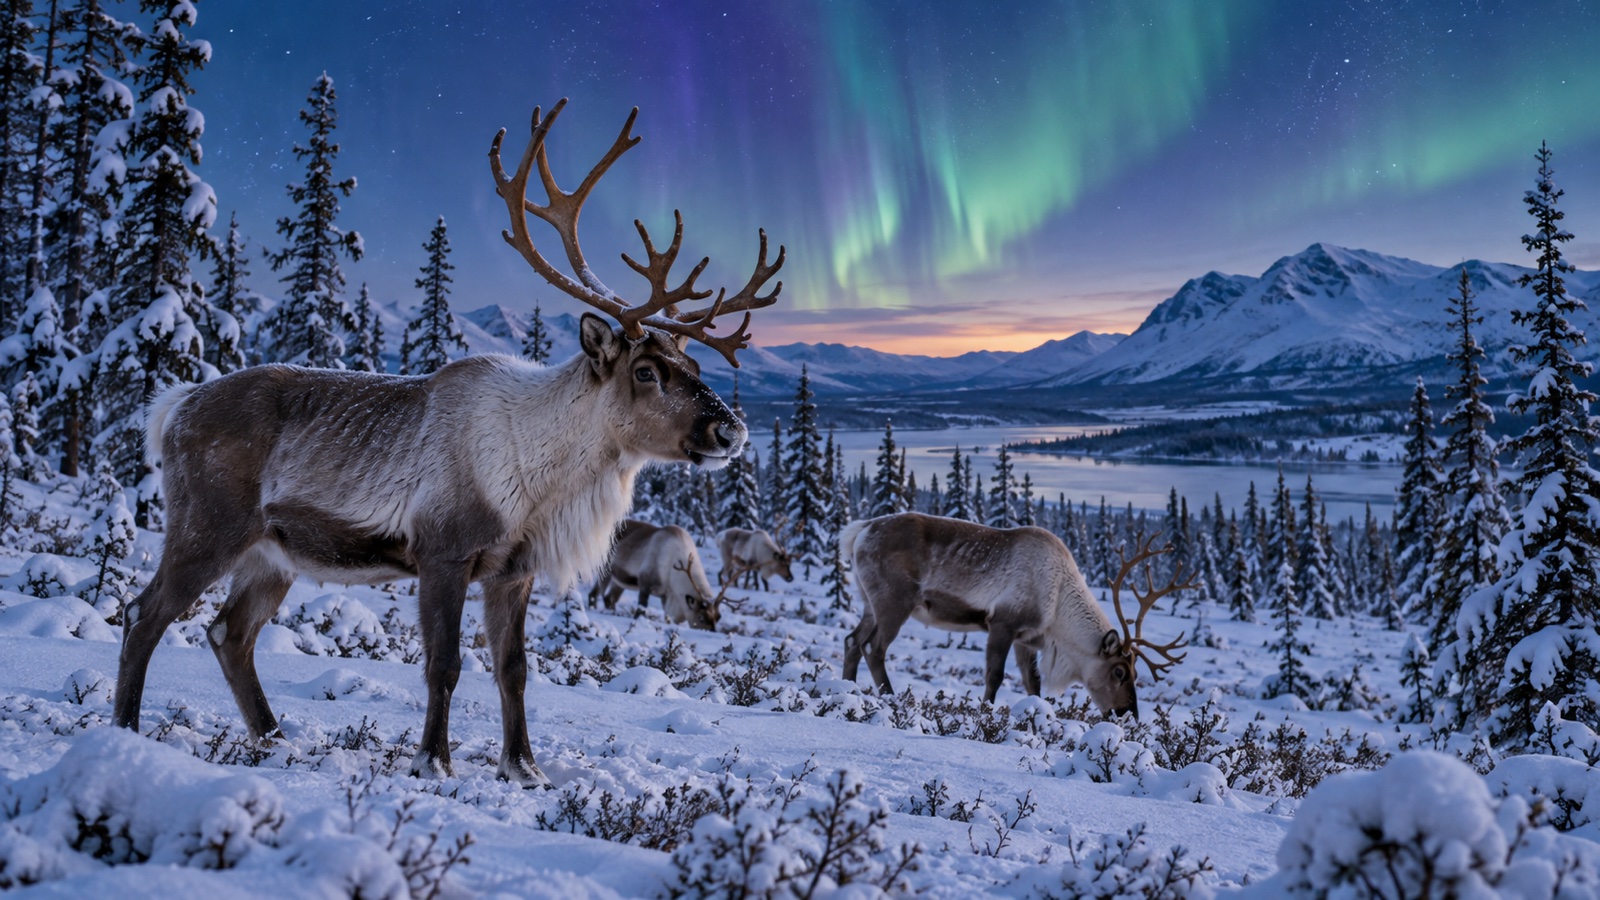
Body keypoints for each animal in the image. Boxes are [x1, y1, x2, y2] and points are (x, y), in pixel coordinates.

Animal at [588, 519, 724, 630]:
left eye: (718, 617)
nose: (711, 632)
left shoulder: (665, 596)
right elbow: (640, 610)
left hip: (618, 582)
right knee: (599, 594)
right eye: (700, 617)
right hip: (605, 571)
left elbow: (667, 618)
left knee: (605, 597)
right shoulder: (645, 583)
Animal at [840, 513, 1191, 717]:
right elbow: (994, 676)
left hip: (869, 602)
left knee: (852, 641)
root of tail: (860, 530)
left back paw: (847, 690)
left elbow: (1032, 683)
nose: (1127, 714)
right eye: (1119, 671)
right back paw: (890, 698)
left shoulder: (1027, 638)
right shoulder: (1002, 624)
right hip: (894, 601)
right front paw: (986, 713)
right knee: (874, 648)